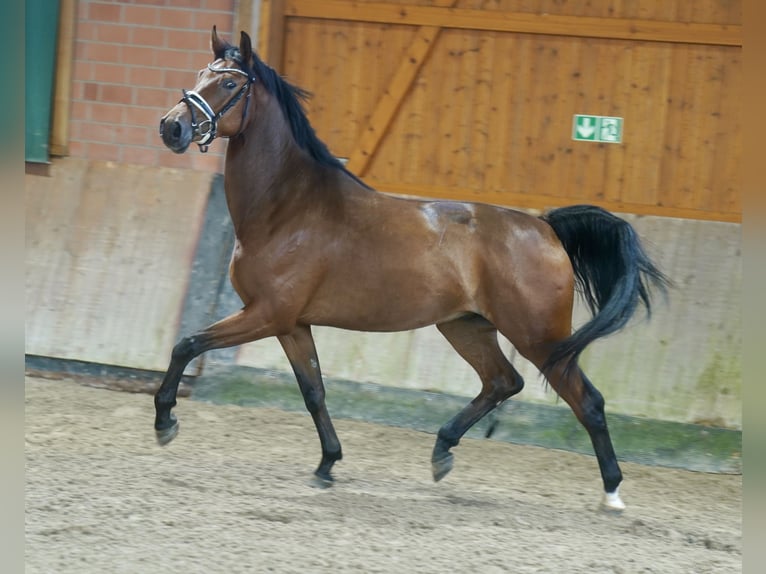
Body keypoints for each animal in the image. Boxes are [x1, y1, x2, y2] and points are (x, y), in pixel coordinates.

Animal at [157, 27, 669, 511]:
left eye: (228, 83)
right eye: (200, 74)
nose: (172, 128)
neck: (288, 210)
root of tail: (545, 227)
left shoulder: (266, 315)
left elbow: (186, 345)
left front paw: (165, 422)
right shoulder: (292, 324)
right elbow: (314, 392)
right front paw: (327, 465)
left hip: (540, 338)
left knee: (588, 401)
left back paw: (612, 494)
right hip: (465, 326)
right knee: (504, 381)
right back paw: (442, 452)